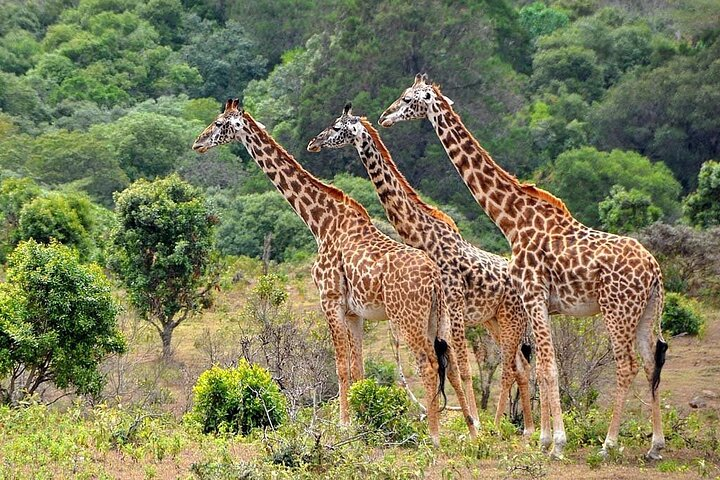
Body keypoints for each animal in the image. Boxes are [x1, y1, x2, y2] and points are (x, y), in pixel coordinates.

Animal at [193, 98, 478, 446]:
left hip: (407, 317)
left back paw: (434, 436)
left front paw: (343, 425)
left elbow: (340, 366)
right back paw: (472, 429)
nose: (198, 143)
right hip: (441, 317)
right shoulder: (355, 312)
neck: (320, 221)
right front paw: (363, 422)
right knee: (452, 364)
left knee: (428, 365)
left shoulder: (329, 299)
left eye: (220, 124)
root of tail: (435, 278)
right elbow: (359, 369)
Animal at [308, 104, 536, 436]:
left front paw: (473, 428)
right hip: (494, 321)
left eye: (337, 127)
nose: (314, 143)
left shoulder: (451, 307)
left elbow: (461, 368)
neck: (421, 234)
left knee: (509, 366)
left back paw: (500, 427)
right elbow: (453, 367)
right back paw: (529, 429)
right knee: (521, 364)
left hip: (509, 319)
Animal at [380, 73, 668, 460]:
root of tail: (655, 272)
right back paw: (655, 446)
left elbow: (546, 367)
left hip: (616, 310)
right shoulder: (537, 302)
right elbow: (541, 367)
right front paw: (544, 439)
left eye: (409, 98)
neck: (512, 220)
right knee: (651, 362)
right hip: (647, 312)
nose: (385, 116)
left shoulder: (533, 295)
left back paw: (608, 444)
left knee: (627, 366)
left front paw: (556, 443)